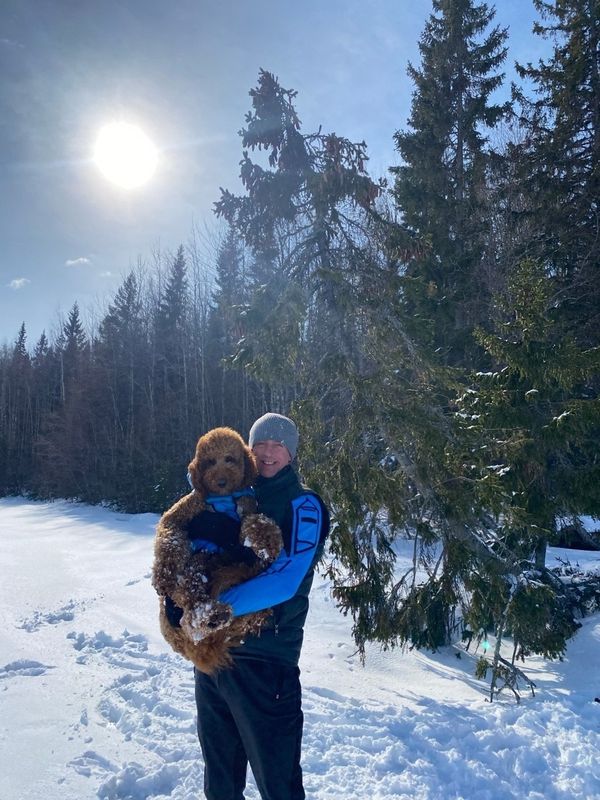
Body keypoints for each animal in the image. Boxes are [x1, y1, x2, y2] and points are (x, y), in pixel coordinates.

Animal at [152, 427, 283, 674]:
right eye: (210, 461)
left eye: (229, 458)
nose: (221, 481)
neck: (224, 499)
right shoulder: (183, 511)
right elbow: (169, 535)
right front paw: (162, 576)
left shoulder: (248, 503)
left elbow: (256, 520)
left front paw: (267, 541)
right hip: (196, 567)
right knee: (188, 608)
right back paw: (209, 616)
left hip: (227, 566)